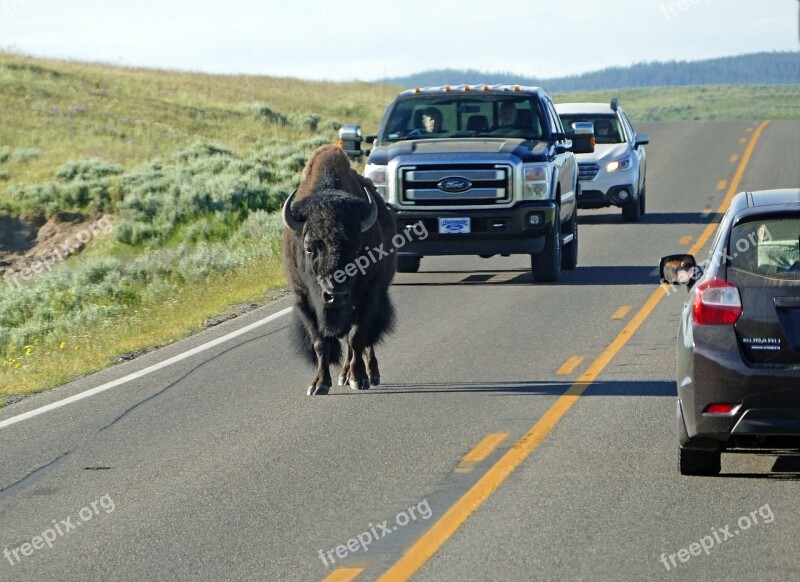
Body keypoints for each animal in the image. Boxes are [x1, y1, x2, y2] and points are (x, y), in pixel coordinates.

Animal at [282, 146, 396, 396]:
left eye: (356, 246)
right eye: (309, 247)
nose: (336, 295)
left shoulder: (368, 297)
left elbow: (357, 338)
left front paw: (359, 379)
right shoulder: (303, 299)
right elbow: (320, 343)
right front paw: (319, 385)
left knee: (365, 340)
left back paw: (369, 374)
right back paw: (344, 375)